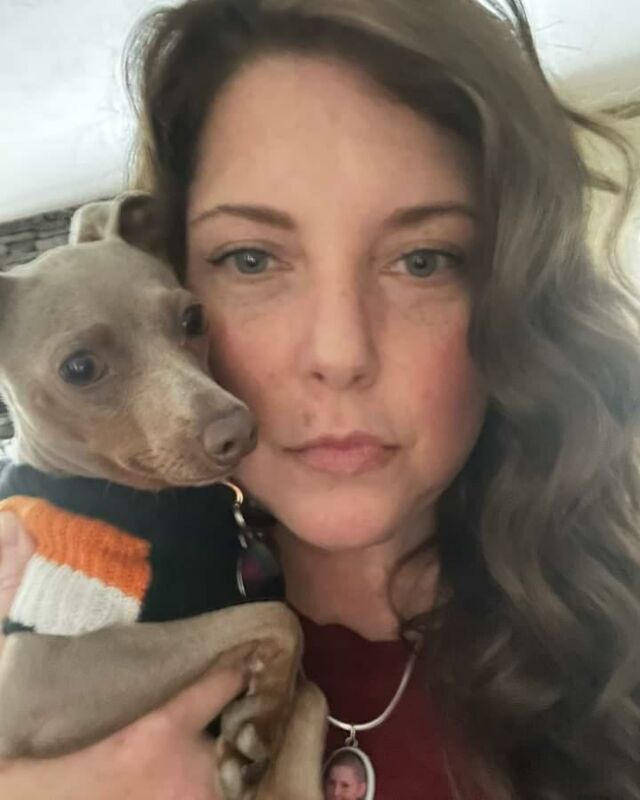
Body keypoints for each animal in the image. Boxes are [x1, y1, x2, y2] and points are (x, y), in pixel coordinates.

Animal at [0, 192, 327, 800]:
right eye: (79, 367)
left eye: (193, 317)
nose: (238, 430)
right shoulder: (35, 672)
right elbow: (273, 615)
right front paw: (264, 714)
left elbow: (311, 695)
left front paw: (260, 730)